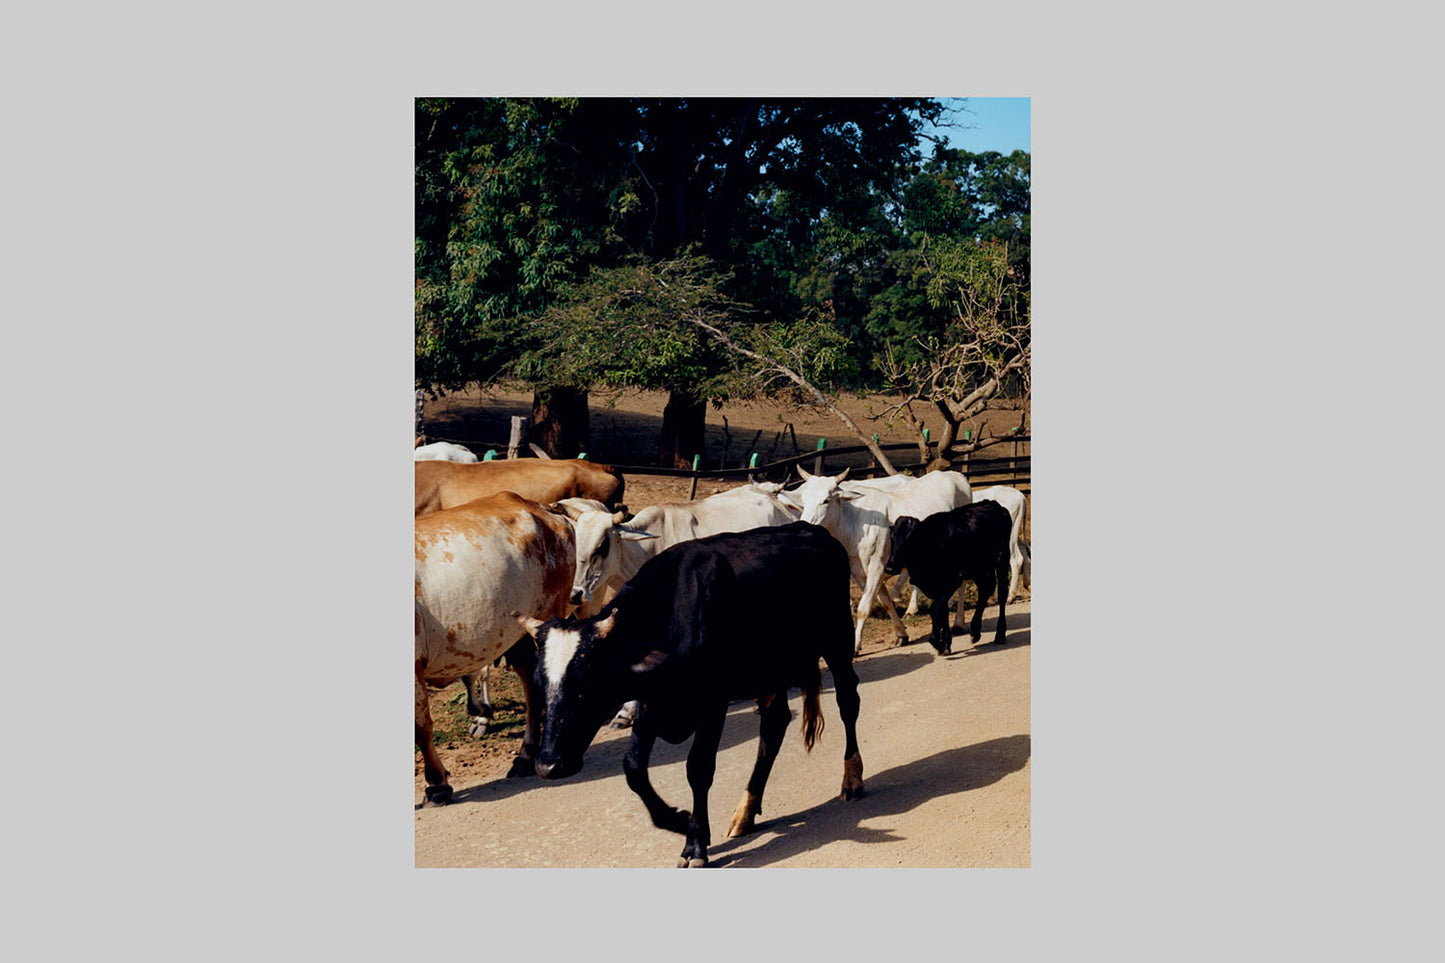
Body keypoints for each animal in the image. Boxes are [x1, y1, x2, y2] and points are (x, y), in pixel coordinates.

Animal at [415, 491, 576, 805]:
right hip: (521, 633)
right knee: (531, 684)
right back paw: (525, 757)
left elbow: (421, 727)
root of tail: (543, 508)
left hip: (550, 615)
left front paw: (437, 784)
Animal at [518, 522, 864, 868]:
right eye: (540, 683)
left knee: (848, 702)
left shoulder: (713, 703)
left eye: (585, 684)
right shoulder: (650, 702)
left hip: (838, 641)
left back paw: (852, 778)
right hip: (769, 673)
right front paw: (678, 820)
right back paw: (745, 811)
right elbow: (633, 769)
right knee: (773, 726)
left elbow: (698, 769)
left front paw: (695, 841)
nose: (547, 766)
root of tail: (811, 528)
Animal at [777, 466, 973, 655]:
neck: (852, 527)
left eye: (826, 500)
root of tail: (956, 476)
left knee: (962, 585)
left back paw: (958, 622)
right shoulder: (859, 574)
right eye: (804, 500)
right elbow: (885, 602)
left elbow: (863, 608)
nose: (804, 526)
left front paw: (856, 646)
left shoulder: (876, 567)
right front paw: (901, 635)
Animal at [882, 500, 1012, 654]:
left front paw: (937, 642)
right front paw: (946, 644)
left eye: (910, 540)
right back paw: (975, 632)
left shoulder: (952, 582)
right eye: (892, 538)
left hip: (1002, 559)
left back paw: (1000, 634)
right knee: (986, 589)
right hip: (980, 568)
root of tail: (992, 503)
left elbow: (935, 610)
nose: (889, 567)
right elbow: (942, 611)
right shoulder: (937, 587)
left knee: (1001, 594)